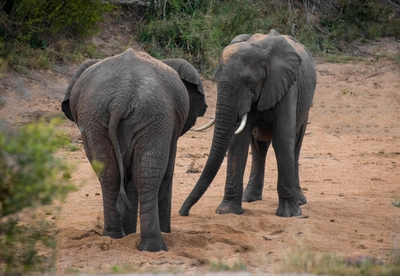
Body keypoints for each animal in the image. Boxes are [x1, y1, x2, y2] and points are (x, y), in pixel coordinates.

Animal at [61, 48, 209, 251]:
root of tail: (121, 99)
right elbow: (166, 175)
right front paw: (162, 232)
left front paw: (129, 233)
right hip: (153, 118)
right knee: (148, 176)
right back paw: (155, 247)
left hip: (98, 118)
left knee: (110, 175)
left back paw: (114, 237)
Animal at [180, 29, 316, 218]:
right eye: (216, 79)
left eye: (249, 82)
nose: (183, 212)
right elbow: (238, 141)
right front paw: (228, 211)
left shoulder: (287, 86)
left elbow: (282, 139)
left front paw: (289, 214)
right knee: (259, 147)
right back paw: (250, 198)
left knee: (295, 145)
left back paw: (300, 201)